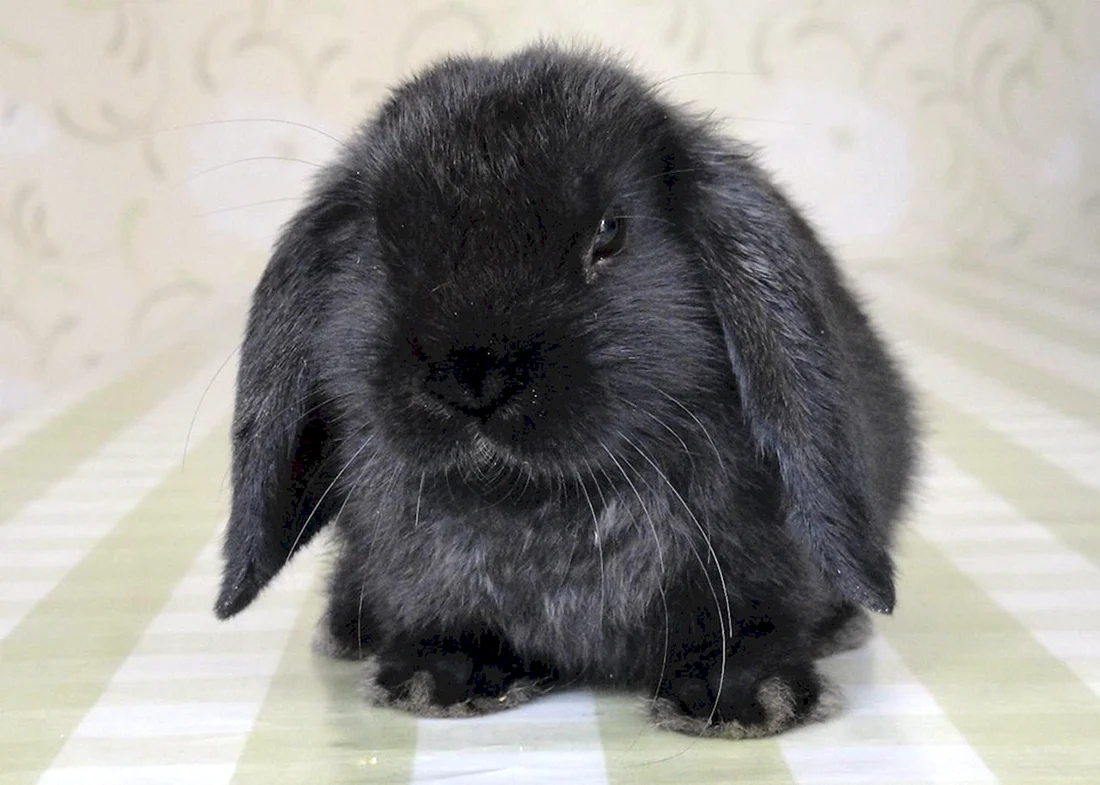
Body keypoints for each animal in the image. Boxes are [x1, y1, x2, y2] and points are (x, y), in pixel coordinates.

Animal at [213, 43, 918, 739]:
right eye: (381, 244)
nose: (474, 379)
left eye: (610, 231)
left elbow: (745, 627)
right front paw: (438, 680)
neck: (535, 498)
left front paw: (744, 700)